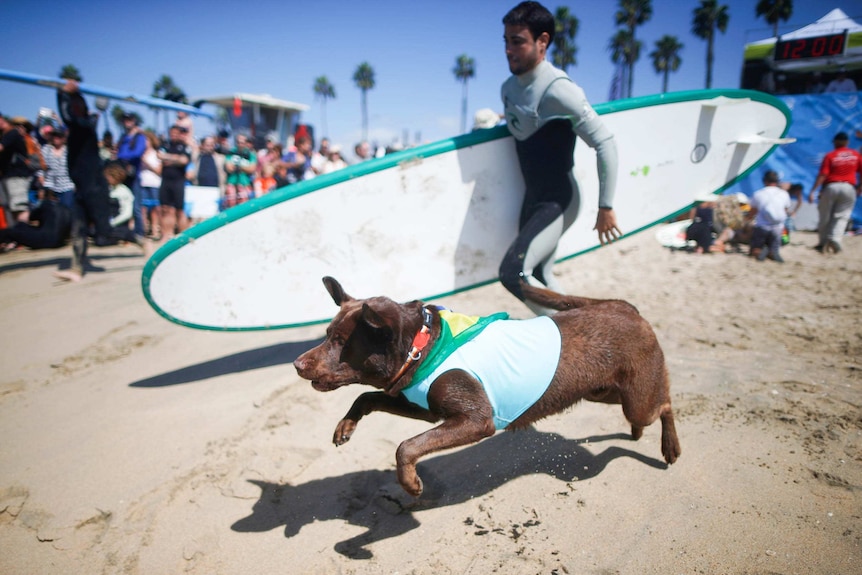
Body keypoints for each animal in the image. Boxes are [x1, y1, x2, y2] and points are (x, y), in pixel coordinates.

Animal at [296, 276, 680, 498]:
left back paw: (670, 447)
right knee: (643, 409)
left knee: (663, 405)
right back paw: (636, 434)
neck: (423, 346)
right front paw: (345, 426)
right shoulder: (426, 409)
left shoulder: (475, 420)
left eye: (341, 341)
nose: (298, 364)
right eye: (327, 334)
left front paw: (410, 483)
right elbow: (367, 395)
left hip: (637, 398)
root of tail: (624, 307)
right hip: (601, 391)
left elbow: (406, 446)